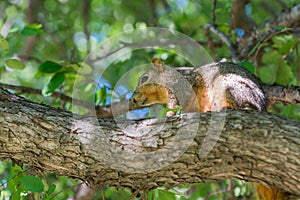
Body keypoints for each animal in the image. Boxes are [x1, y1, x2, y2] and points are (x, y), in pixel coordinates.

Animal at [132, 57, 290, 200]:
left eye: (144, 78)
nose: (133, 99)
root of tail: (262, 107)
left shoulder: (181, 86)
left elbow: (175, 105)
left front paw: (170, 115)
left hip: (230, 87)